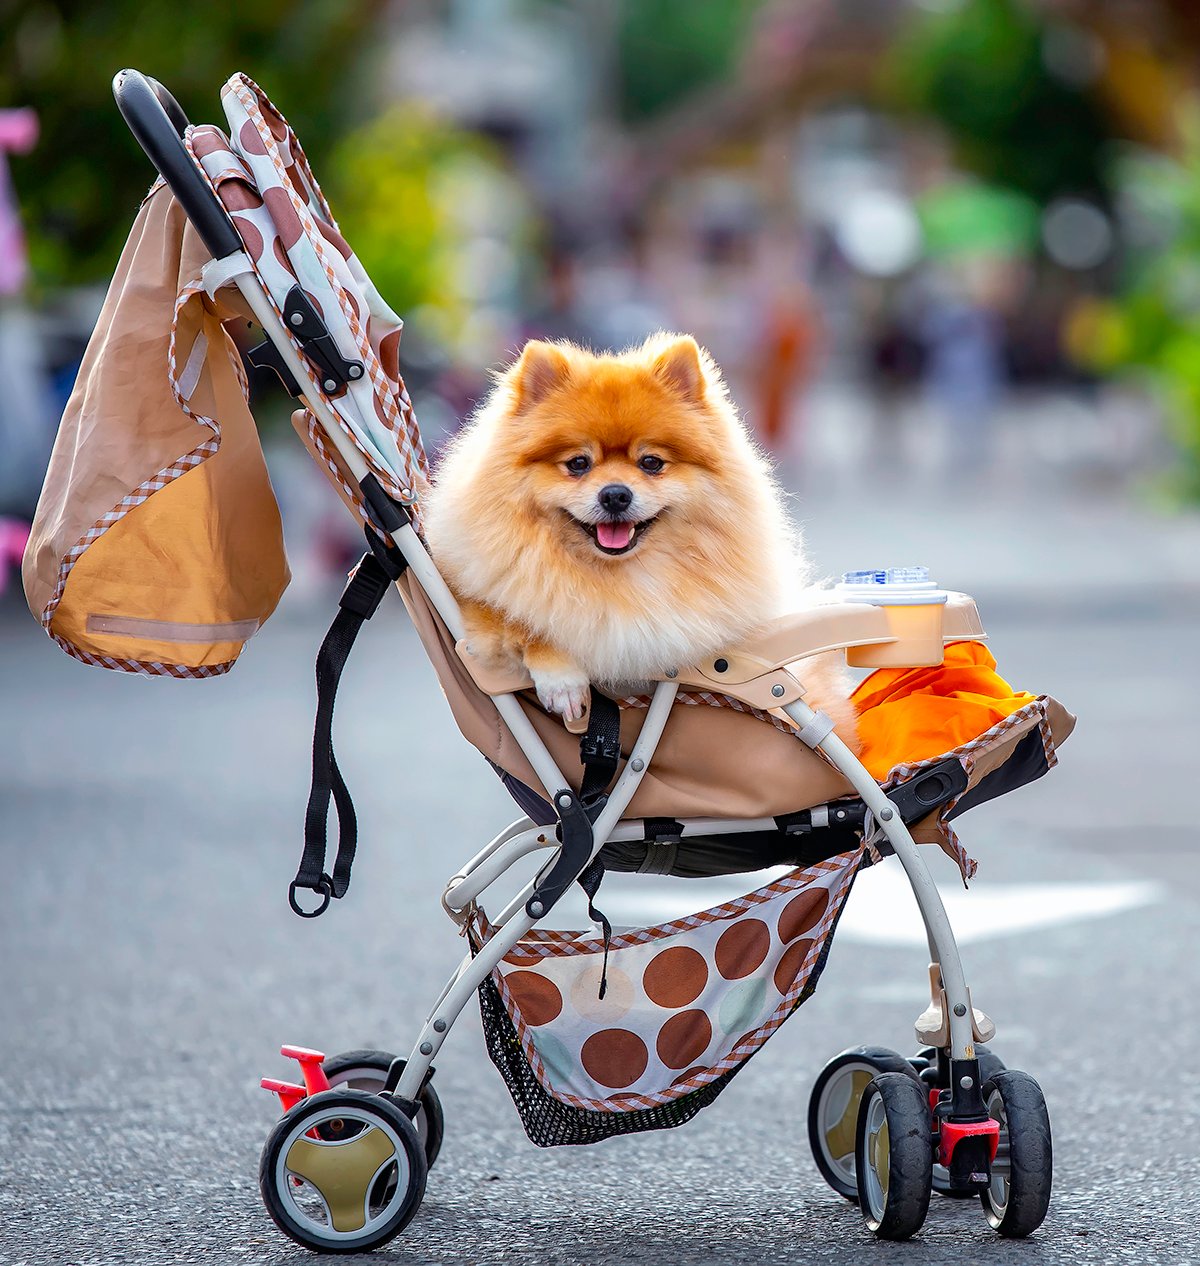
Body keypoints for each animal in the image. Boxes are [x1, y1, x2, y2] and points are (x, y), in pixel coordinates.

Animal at [417, 334, 855, 739]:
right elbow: (525, 617)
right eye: (578, 463)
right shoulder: (465, 596)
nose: (615, 494)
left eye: (651, 463)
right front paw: (563, 681)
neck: (618, 579)